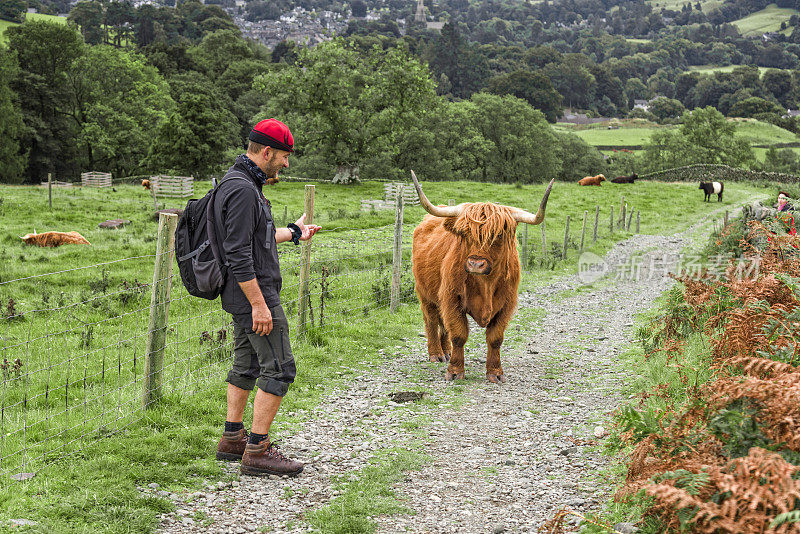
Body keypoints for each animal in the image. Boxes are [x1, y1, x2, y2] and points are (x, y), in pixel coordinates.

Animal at [410, 172, 552, 386]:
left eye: (499, 235)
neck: (485, 285)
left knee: (442, 323)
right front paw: (455, 371)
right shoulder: (452, 299)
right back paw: (437, 353)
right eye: (465, 233)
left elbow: (495, 338)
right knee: (432, 320)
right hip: (425, 294)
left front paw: (495, 372)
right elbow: (459, 335)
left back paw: (446, 351)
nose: (475, 264)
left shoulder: (506, 304)